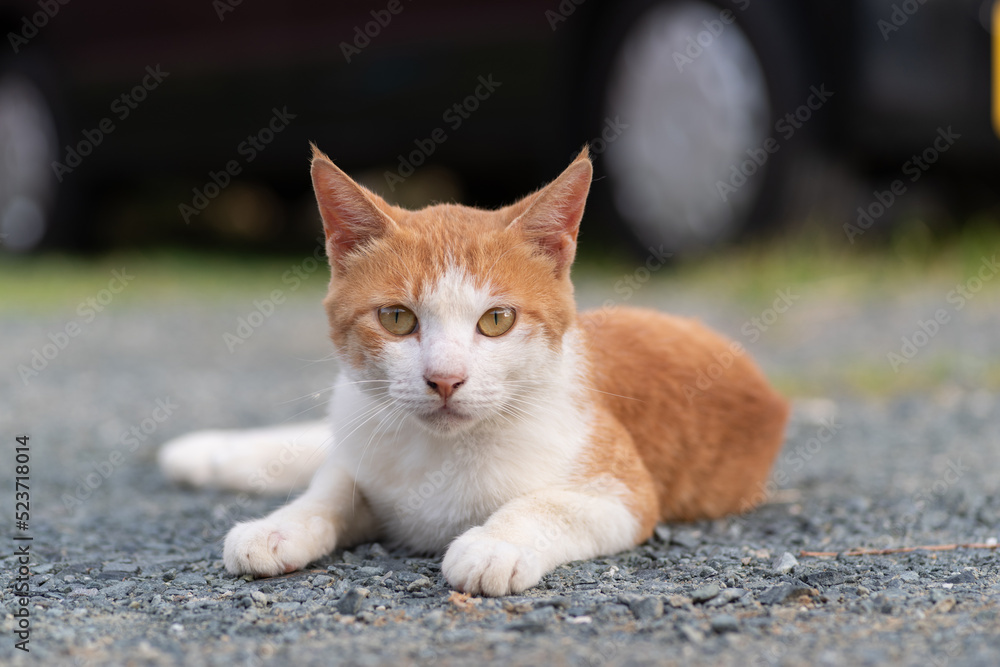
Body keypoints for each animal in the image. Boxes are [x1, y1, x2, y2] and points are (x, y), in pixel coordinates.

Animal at [160, 145, 788, 596]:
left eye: (496, 320)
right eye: (396, 318)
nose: (445, 378)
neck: (440, 452)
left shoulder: (626, 491)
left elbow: (549, 503)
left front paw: (494, 544)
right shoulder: (364, 449)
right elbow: (332, 486)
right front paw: (280, 525)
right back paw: (207, 454)